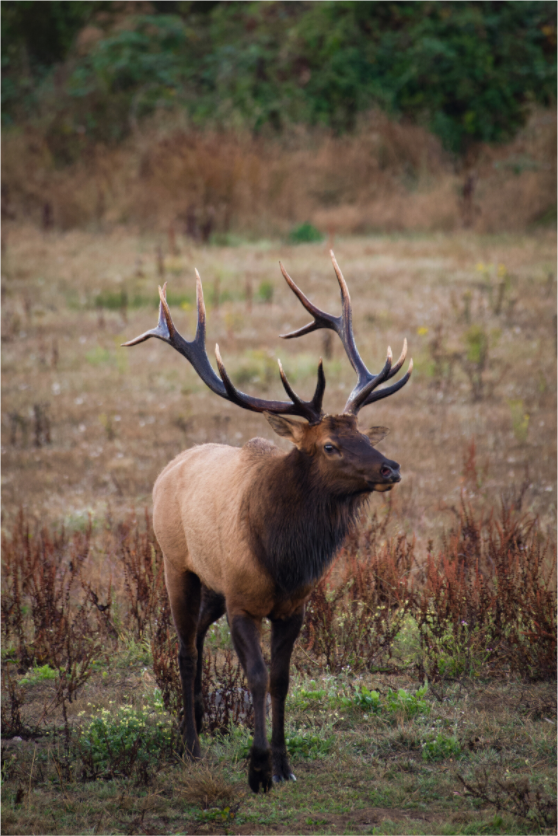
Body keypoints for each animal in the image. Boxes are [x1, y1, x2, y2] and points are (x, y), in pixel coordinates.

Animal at [123, 251, 412, 793]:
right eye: (329, 445)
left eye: (364, 434)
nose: (390, 468)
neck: (284, 557)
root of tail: (171, 465)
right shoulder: (243, 601)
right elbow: (255, 677)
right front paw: (256, 769)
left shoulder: (293, 605)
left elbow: (281, 679)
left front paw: (283, 764)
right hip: (177, 564)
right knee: (185, 646)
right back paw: (190, 743)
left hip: (213, 584)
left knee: (198, 633)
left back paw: (199, 720)